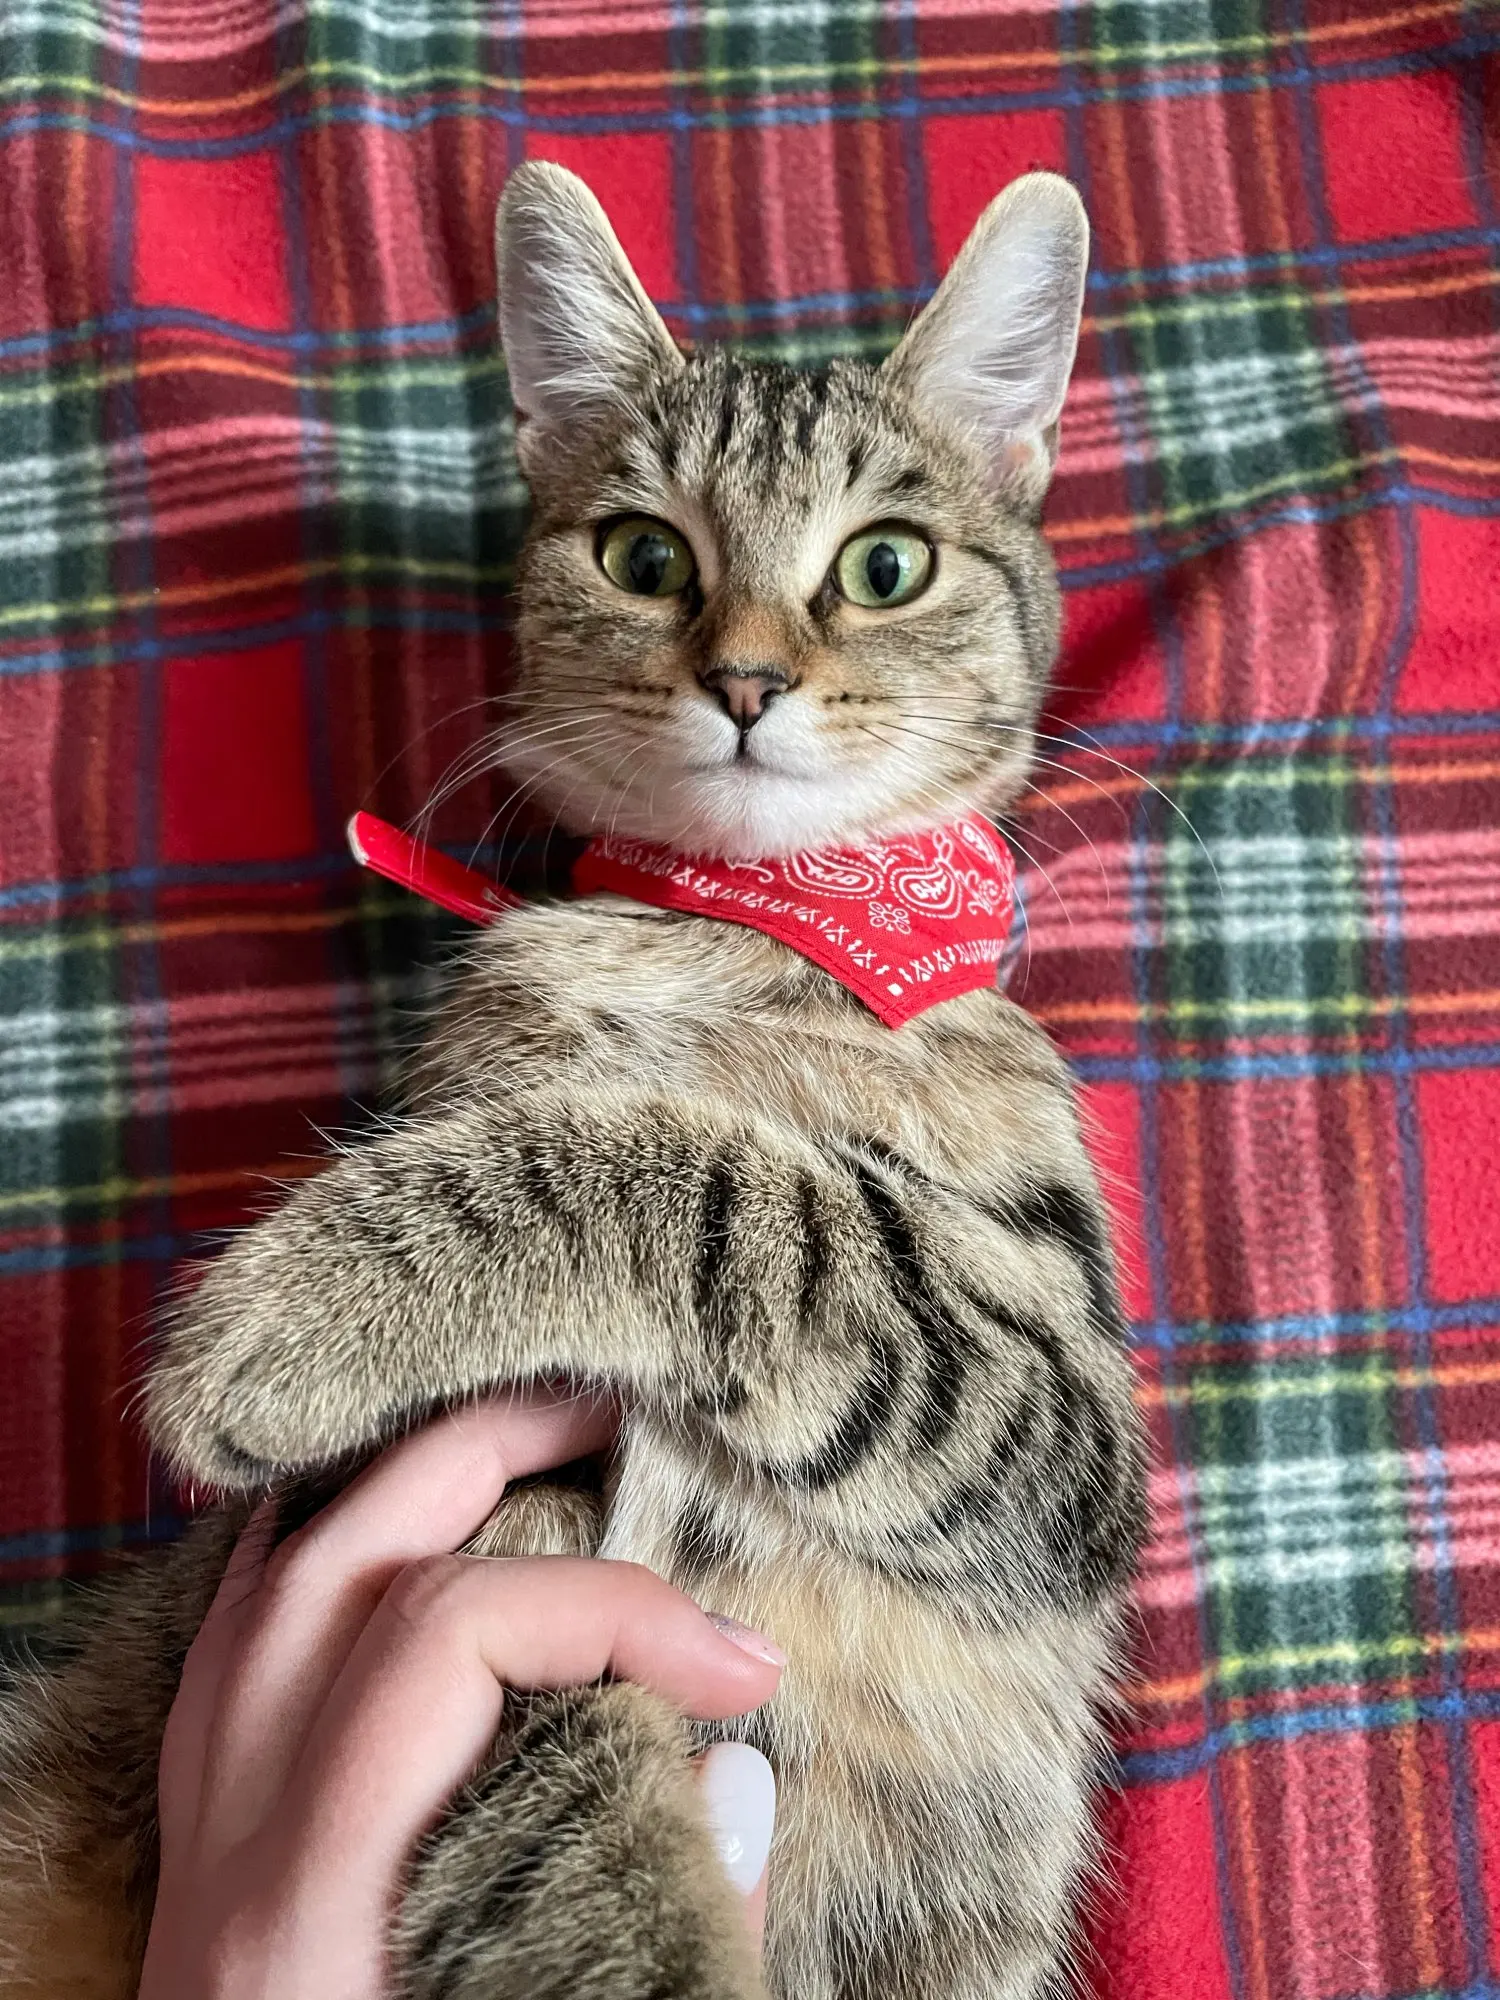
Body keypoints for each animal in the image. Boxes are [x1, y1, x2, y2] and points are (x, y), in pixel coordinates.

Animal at [0, 163, 1146, 2000]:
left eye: (884, 566)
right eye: (642, 554)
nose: (744, 680)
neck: (737, 930)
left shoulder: (1057, 1418)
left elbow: (749, 1188)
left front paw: (285, 1313)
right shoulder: (439, 1523)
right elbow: (547, 1753)